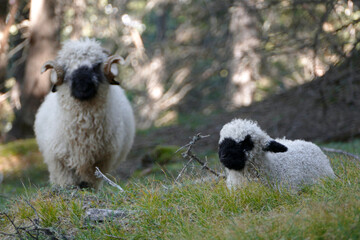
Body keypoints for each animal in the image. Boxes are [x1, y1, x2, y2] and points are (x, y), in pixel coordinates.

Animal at [34, 38, 136, 189]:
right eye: (67, 68)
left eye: (96, 66)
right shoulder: (59, 162)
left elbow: (90, 182)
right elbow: (67, 183)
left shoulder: (100, 162)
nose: (82, 85)